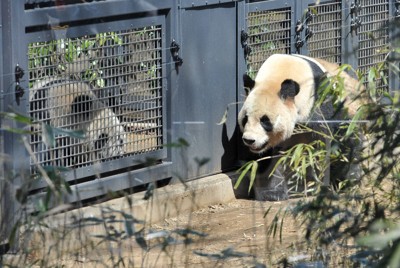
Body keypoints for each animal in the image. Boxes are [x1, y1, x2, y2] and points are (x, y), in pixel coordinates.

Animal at [238, 54, 366, 201]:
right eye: (245, 119)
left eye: (265, 121)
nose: (249, 140)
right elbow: (265, 160)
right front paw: (271, 193)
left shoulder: (319, 98)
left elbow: (334, 137)